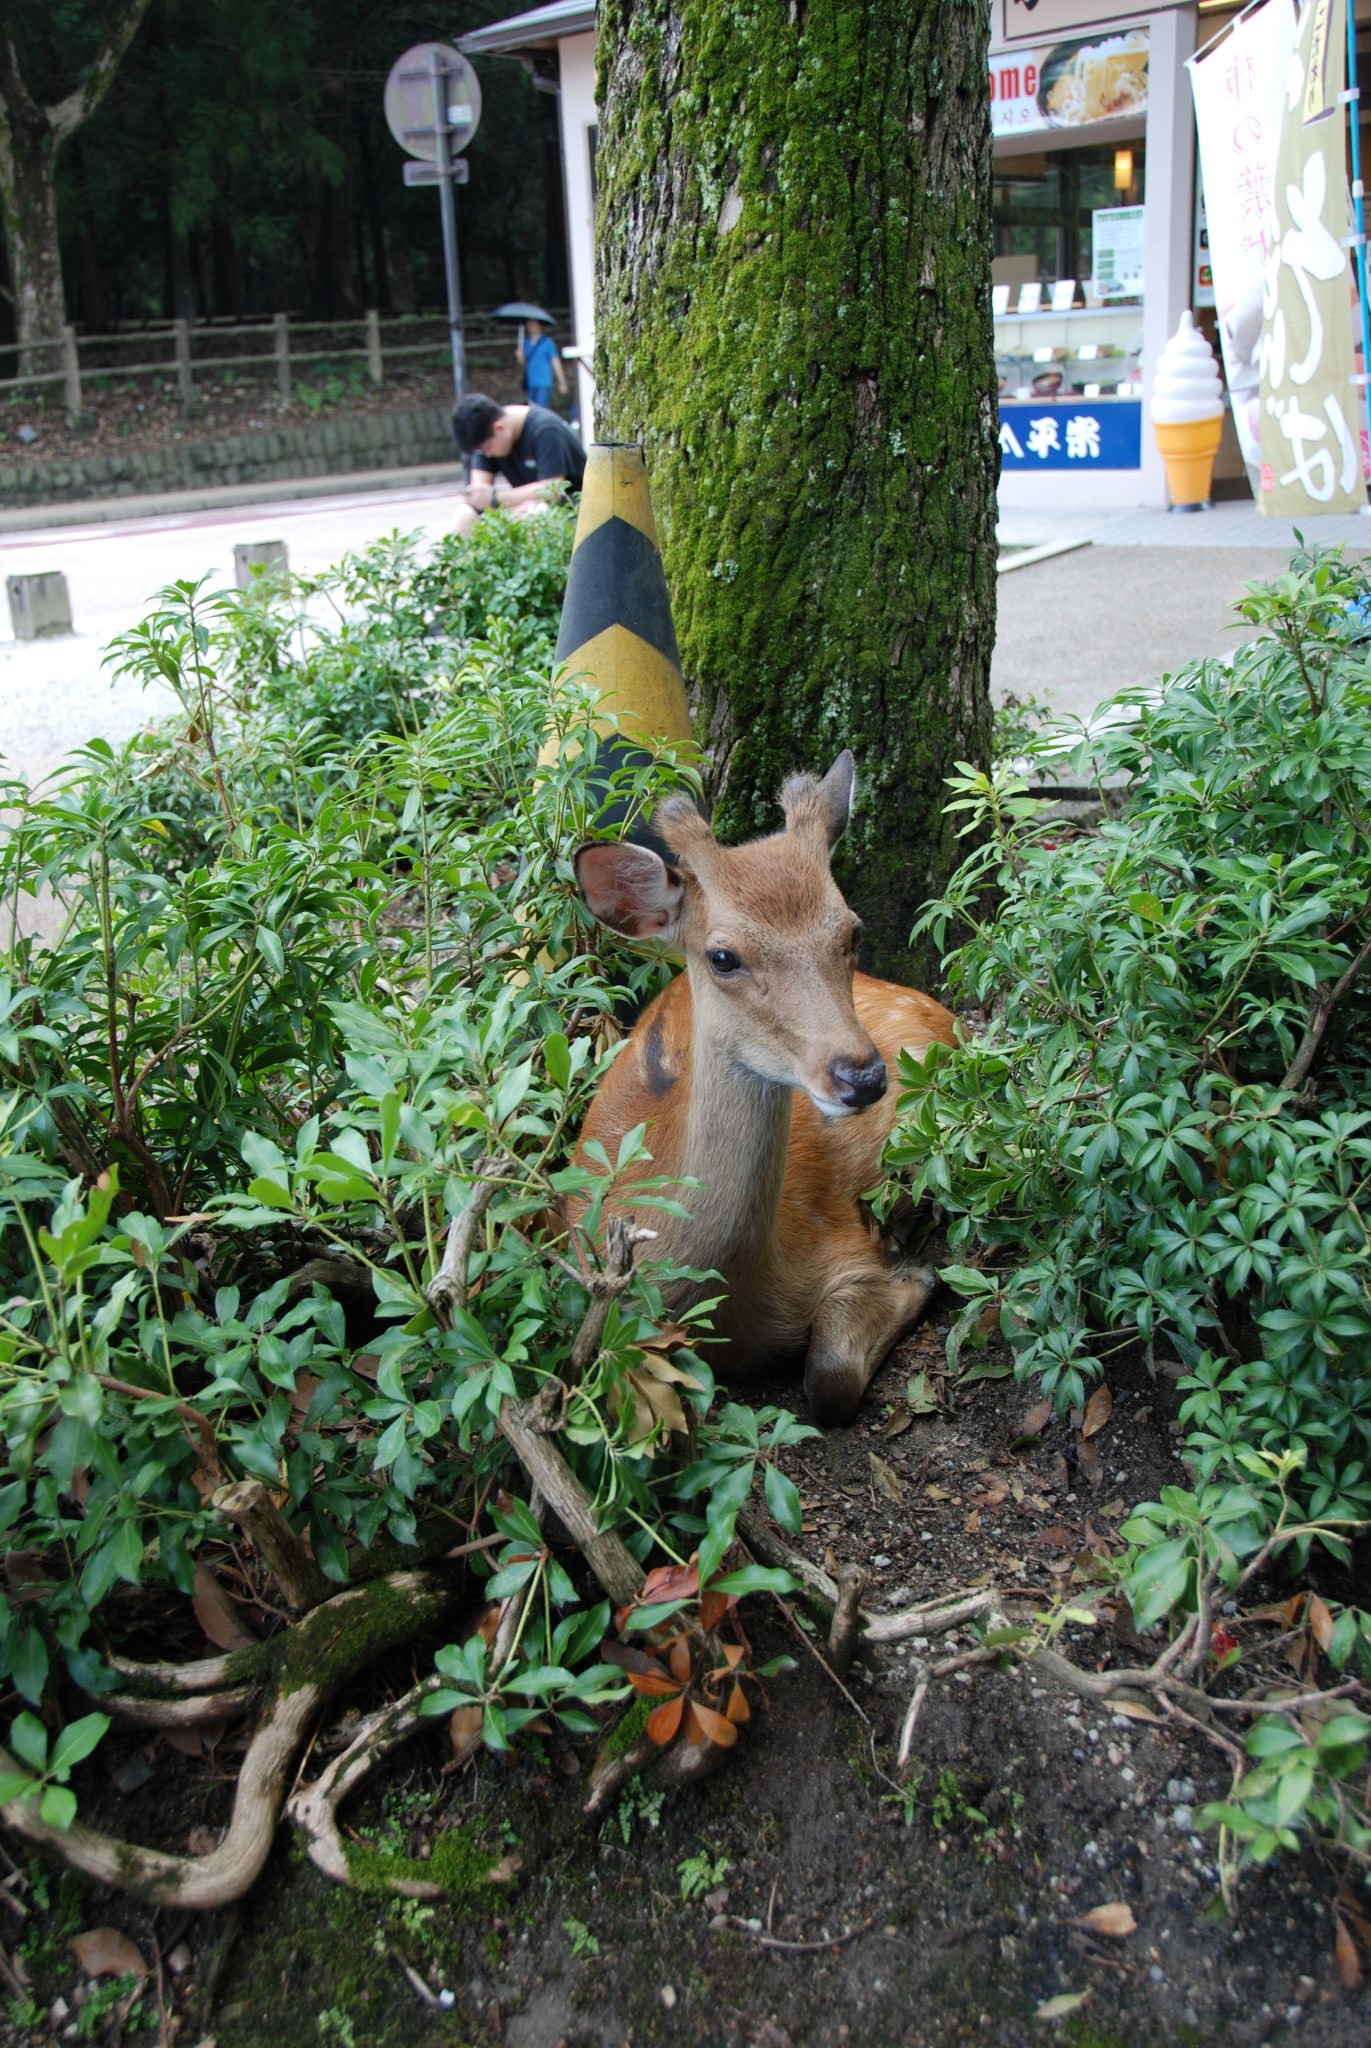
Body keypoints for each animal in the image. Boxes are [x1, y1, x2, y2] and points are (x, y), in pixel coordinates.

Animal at [573, 753, 959, 1425]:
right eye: (722, 956)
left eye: (852, 931)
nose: (862, 1076)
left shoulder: (841, 1244)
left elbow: (829, 1380)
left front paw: (914, 1269)